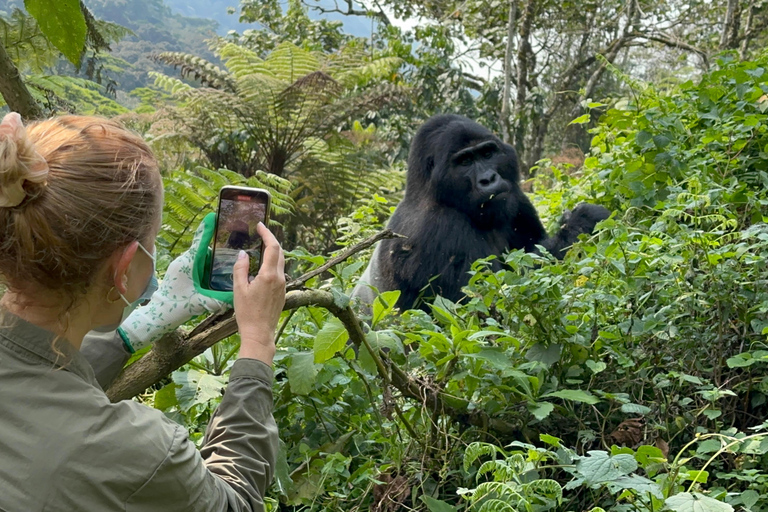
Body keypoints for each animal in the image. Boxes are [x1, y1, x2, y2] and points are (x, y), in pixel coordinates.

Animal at [354, 114, 612, 310]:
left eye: (488, 154)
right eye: (465, 161)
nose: (488, 179)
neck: (434, 193)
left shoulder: (516, 197)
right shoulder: (440, 228)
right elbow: (500, 302)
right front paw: (583, 221)